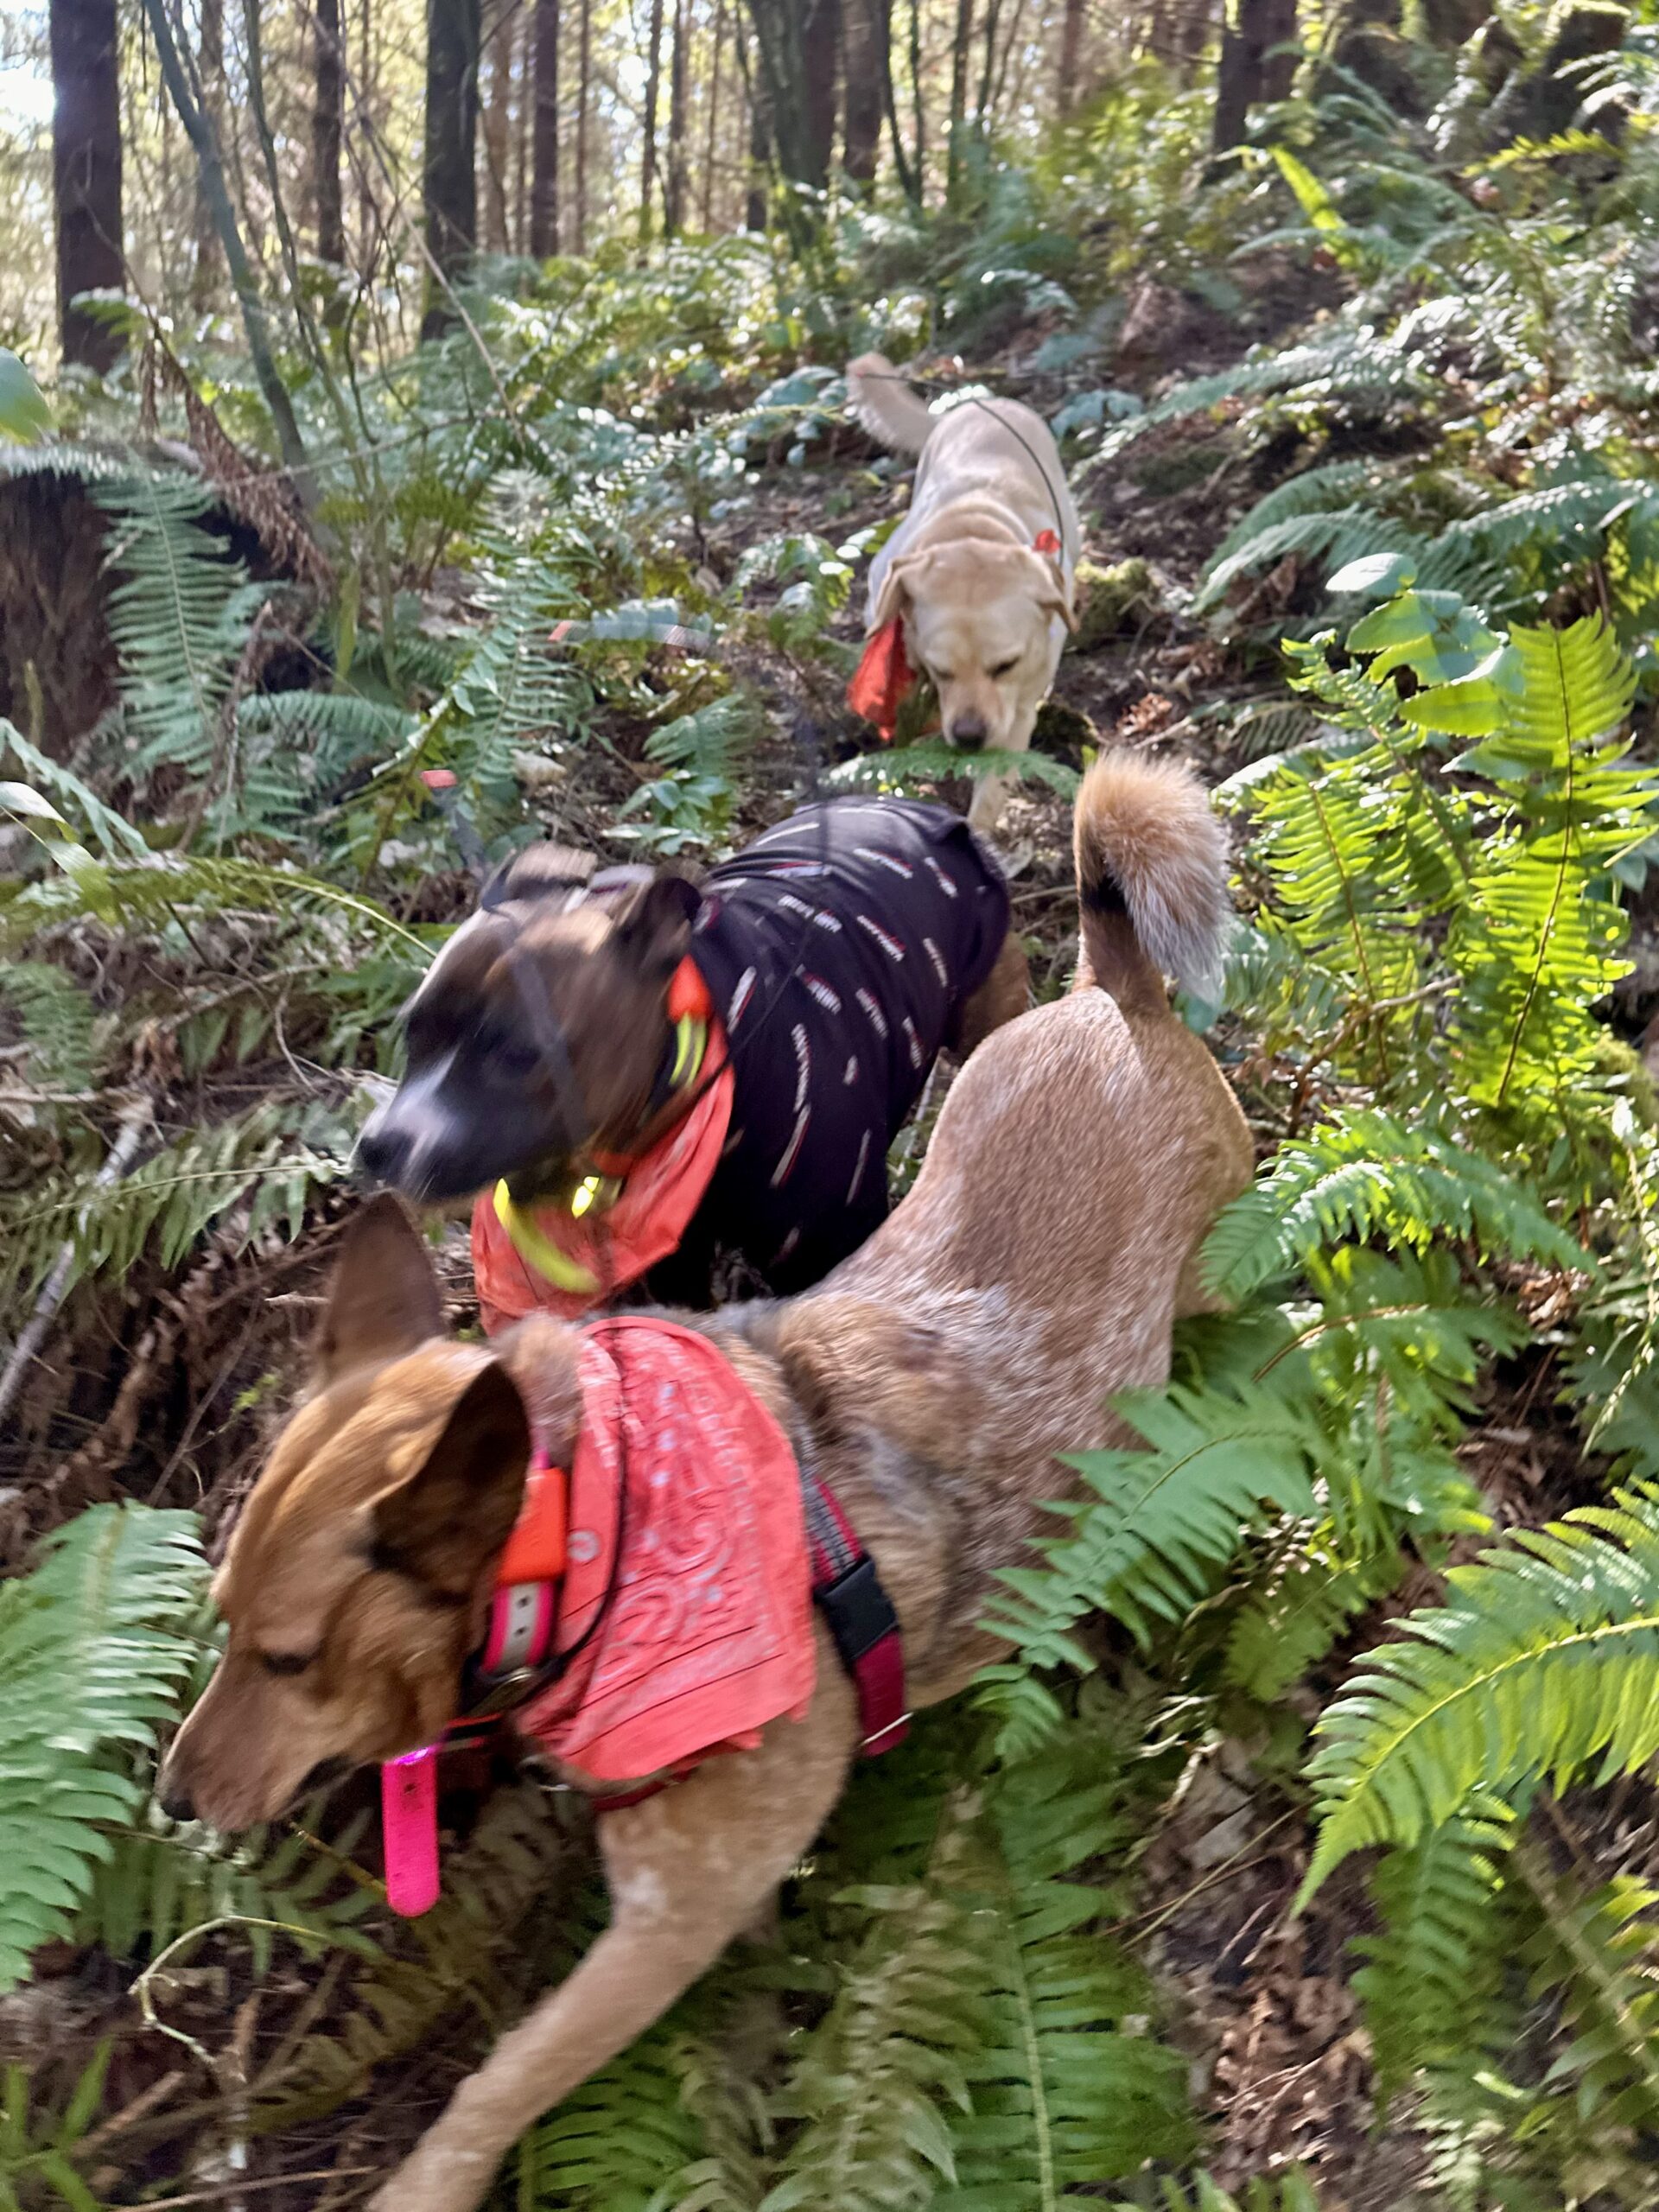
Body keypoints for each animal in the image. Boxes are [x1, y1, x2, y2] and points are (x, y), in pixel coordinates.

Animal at [162, 756, 1247, 2212]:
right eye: (221, 1625)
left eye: (285, 1660)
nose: (171, 1804)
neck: (599, 1526)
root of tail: (1114, 997)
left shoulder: (669, 1922)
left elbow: (499, 2077)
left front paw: (426, 2186)